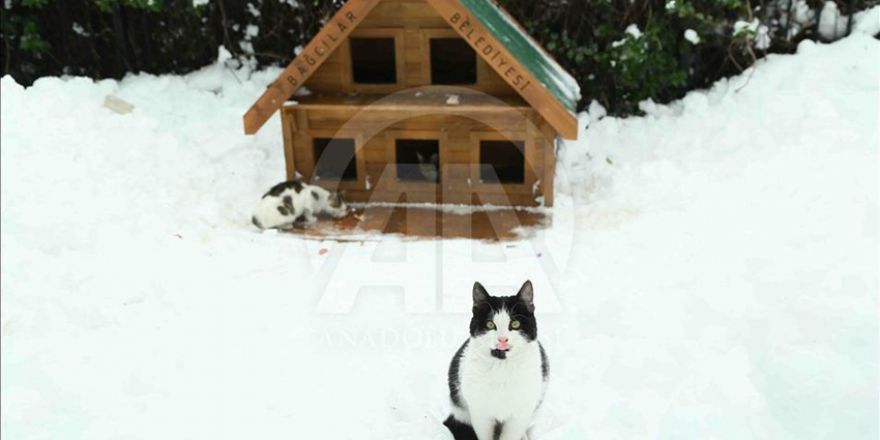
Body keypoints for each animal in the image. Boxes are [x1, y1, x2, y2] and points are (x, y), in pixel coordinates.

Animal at [446, 282, 552, 440]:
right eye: (490, 324)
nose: (502, 339)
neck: (502, 368)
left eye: (515, 324)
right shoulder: (480, 414)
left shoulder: (520, 415)